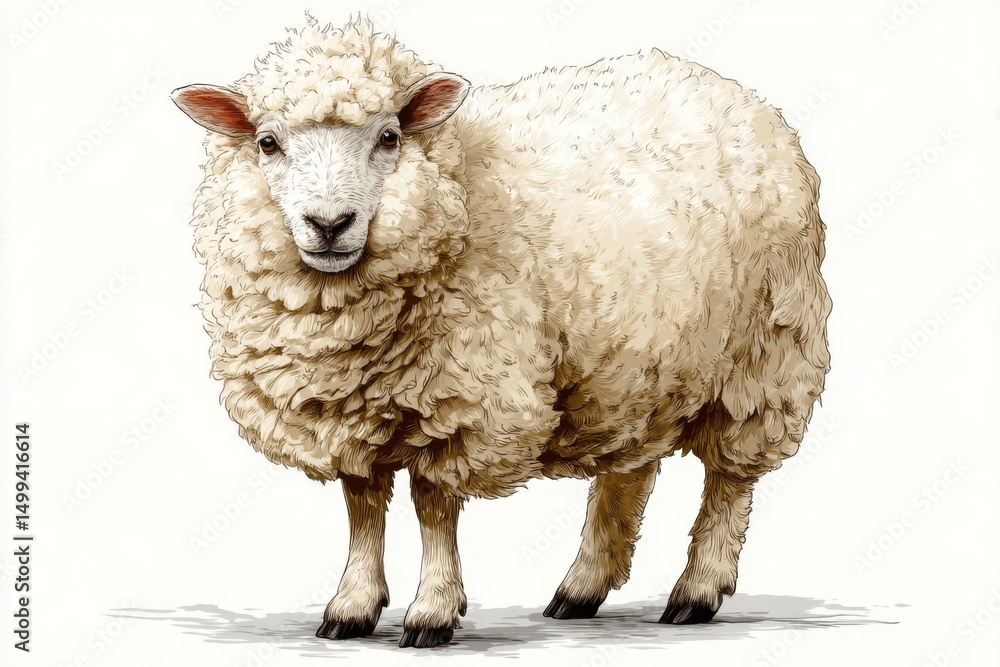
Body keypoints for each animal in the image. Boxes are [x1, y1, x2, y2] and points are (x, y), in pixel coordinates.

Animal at [172, 14, 832, 649]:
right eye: (267, 142)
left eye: (389, 137)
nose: (329, 224)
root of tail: (727, 89)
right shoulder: (349, 411)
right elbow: (362, 507)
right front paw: (352, 606)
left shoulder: (460, 400)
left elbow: (433, 508)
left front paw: (432, 612)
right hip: (635, 361)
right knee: (631, 468)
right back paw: (582, 588)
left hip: (765, 351)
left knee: (730, 478)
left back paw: (696, 590)